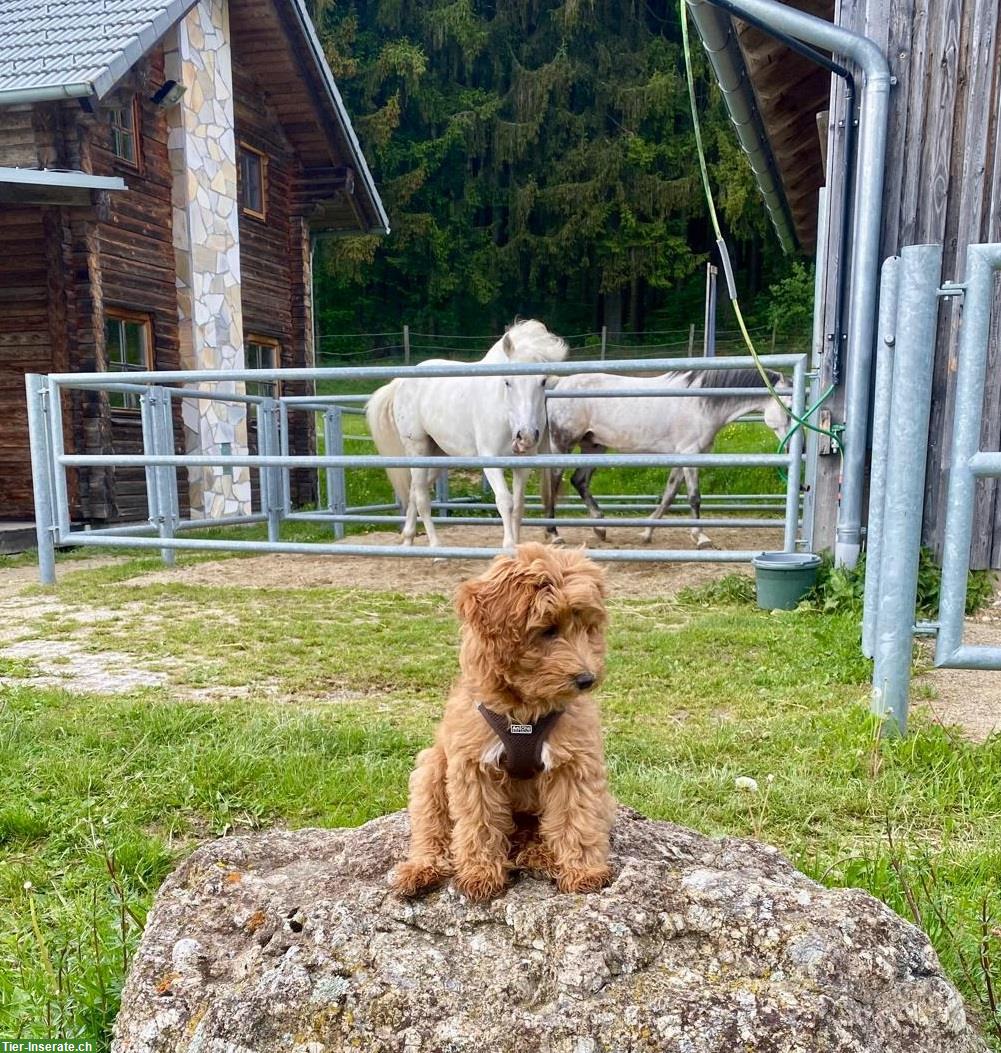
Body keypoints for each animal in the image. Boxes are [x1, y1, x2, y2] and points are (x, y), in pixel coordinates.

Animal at [368, 318, 572, 551]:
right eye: (507, 382)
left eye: (543, 381)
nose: (526, 436)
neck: (503, 410)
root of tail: (401, 382)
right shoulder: (490, 458)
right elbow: (505, 501)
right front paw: (508, 546)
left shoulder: (524, 463)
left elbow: (519, 505)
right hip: (417, 448)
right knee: (421, 497)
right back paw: (436, 548)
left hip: (438, 456)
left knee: (413, 492)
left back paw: (408, 539)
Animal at [389, 539, 610, 901]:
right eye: (548, 630)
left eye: (588, 628)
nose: (586, 679)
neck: (525, 710)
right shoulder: (473, 765)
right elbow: (479, 823)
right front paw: (479, 875)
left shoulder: (573, 762)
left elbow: (575, 816)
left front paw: (583, 871)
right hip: (432, 768)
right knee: (432, 828)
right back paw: (420, 870)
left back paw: (539, 854)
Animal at [543, 368, 795, 551]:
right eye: (789, 408)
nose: (792, 446)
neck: (701, 403)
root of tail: (559, 383)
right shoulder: (691, 454)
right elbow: (694, 497)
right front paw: (701, 538)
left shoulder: (683, 455)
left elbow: (669, 494)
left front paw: (647, 533)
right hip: (563, 445)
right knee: (554, 482)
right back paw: (554, 534)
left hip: (594, 446)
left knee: (579, 481)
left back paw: (600, 528)